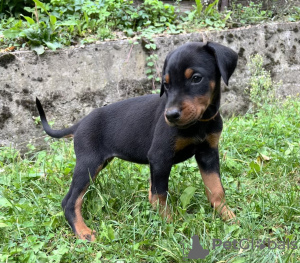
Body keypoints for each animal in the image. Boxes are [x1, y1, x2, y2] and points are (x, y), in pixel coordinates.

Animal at [35, 42, 237, 242]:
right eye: (166, 84)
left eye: (196, 78)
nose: (170, 116)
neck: (200, 123)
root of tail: (79, 124)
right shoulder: (160, 156)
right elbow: (159, 195)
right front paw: (169, 225)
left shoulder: (208, 153)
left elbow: (216, 188)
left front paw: (228, 216)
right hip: (88, 164)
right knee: (69, 201)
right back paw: (83, 231)